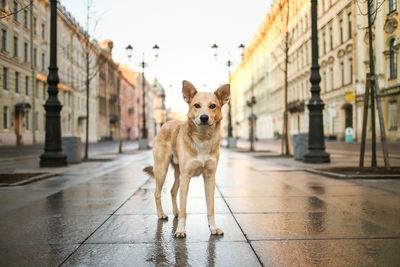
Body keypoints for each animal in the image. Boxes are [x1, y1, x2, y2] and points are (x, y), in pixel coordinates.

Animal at [144, 80, 231, 239]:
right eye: (196, 105)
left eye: (212, 106)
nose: (204, 117)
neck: (203, 139)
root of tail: (165, 124)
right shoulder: (186, 177)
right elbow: (184, 208)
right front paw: (180, 230)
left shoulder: (209, 177)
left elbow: (211, 208)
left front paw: (213, 228)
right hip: (162, 170)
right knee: (157, 193)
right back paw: (161, 214)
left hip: (178, 174)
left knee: (172, 191)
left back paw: (175, 212)